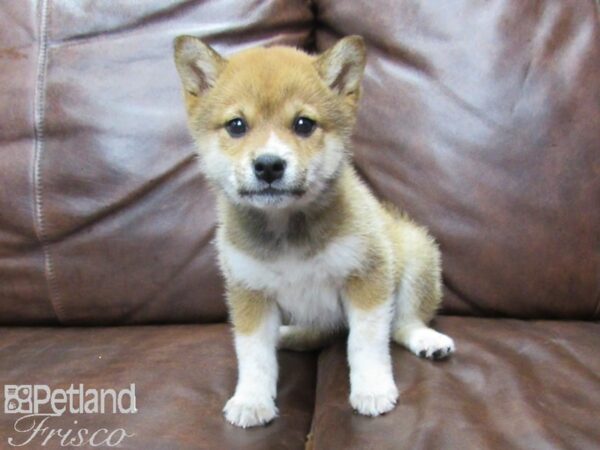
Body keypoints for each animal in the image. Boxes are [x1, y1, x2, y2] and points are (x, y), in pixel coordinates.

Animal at [173, 33, 454, 428]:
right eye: (237, 125)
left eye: (304, 124)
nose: (269, 165)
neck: (286, 228)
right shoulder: (249, 292)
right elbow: (253, 355)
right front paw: (252, 399)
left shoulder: (367, 276)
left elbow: (367, 343)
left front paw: (372, 389)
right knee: (315, 333)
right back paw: (287, 334)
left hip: (416, 258)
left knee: (402, 324)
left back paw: (426, 340)